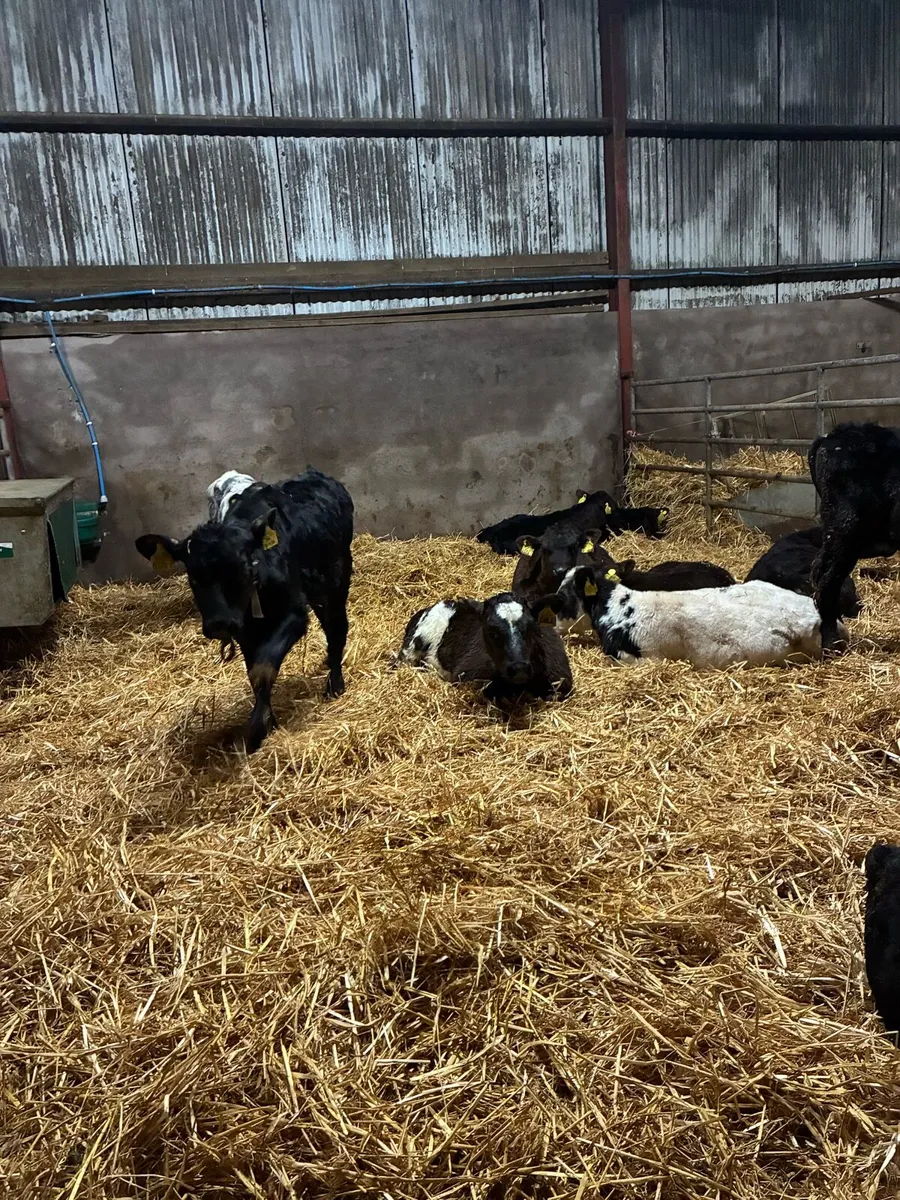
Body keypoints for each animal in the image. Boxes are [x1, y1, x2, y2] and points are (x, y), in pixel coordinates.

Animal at [136, 468, 353, 752]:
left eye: (242, 567)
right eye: (193, 575)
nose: (219, 624)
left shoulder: (293, 614)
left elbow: (263, 667)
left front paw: (256, 729)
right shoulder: (244, 630)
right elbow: (253, 671)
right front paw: (267, 721)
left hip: (337, 578)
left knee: (336, 628)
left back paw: (335, 684)